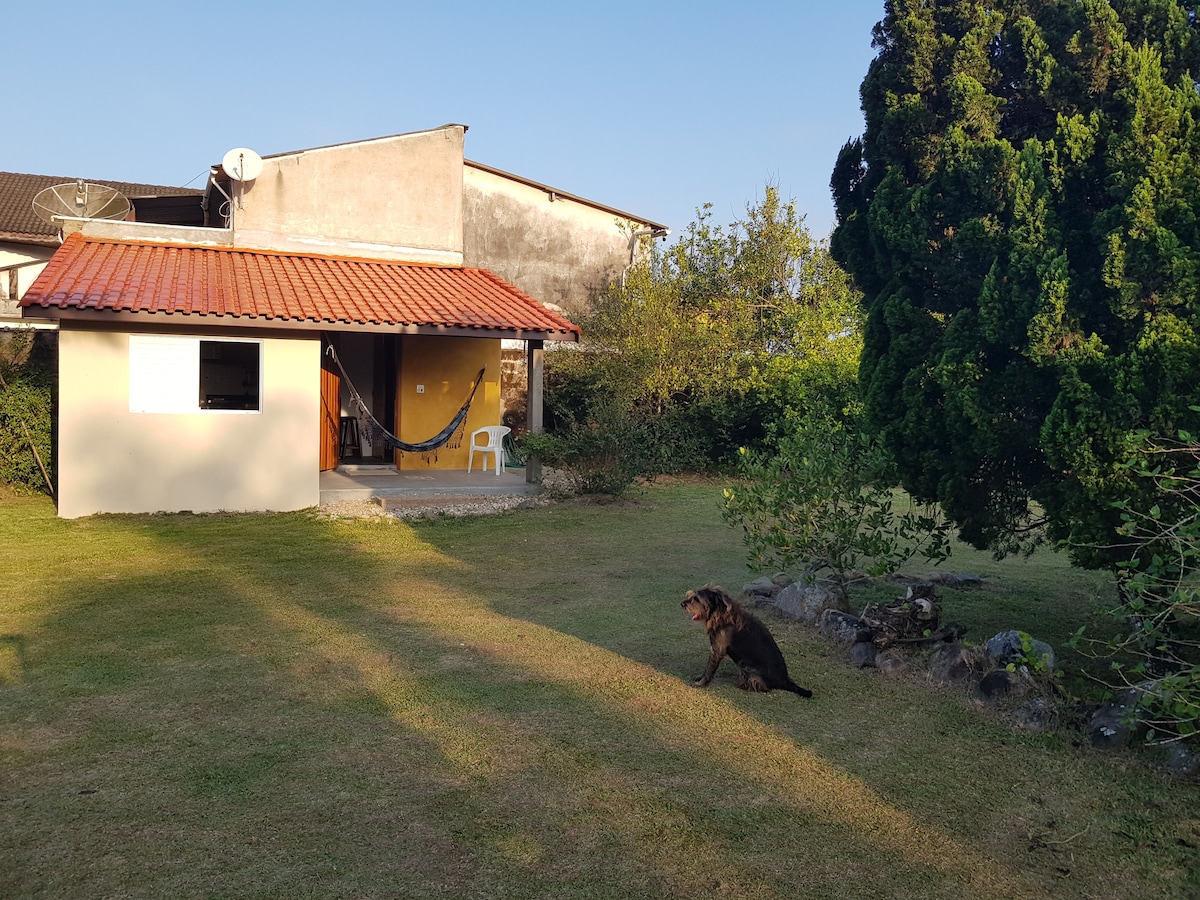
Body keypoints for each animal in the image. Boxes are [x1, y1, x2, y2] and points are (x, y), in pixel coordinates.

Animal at [686, 585, 816, 696]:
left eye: (696, 599)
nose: (683, 603)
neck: (720, 613)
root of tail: (784, 680)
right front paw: (699, 678)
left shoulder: (717, 650)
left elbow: (709, 669)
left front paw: (701, 683)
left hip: (745, 664)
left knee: (764, 687)